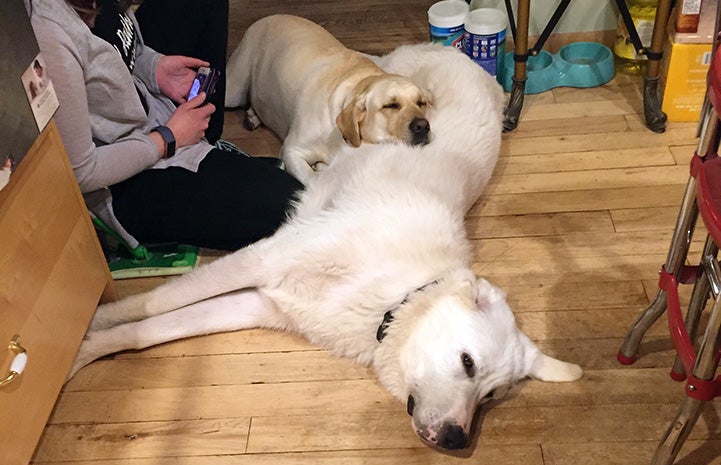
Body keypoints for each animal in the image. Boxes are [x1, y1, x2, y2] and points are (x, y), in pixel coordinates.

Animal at [73, 44, 580, 450]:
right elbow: (148, 305)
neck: (395, 297)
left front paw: (85, 349)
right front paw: (85, 326)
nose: (457, 441)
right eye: (468, 363)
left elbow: (152, 330)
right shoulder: (261, 260)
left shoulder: (259, 303)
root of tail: (465, 57)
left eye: (491, 395)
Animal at [222, 13, 430, 183]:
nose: (423, 126)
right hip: (234, 87)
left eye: (421, 103)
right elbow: (314, 179)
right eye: (391, 105)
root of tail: (265, 18)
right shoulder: (292, 150)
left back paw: (253, 115)